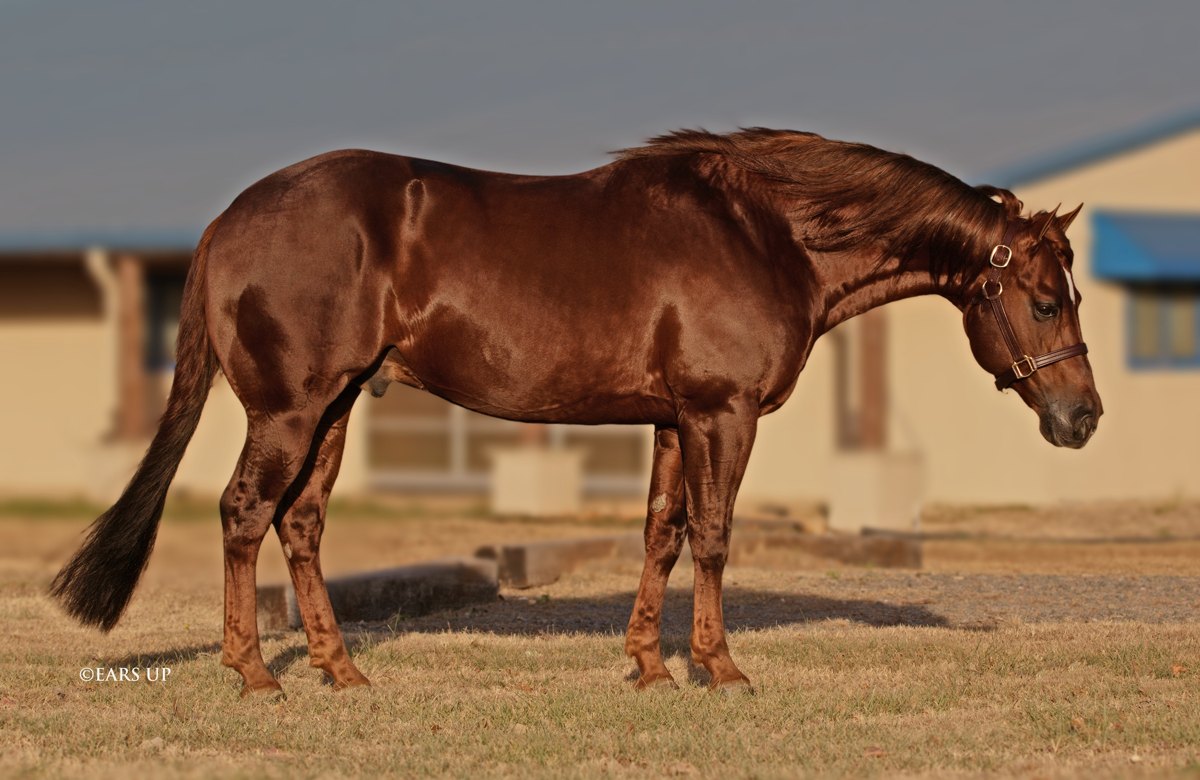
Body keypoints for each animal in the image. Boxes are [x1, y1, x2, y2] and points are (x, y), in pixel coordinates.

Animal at [50, 128, 1101, 695]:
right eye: (1047, 300)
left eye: (1075, 295)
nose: (1083, 417)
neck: (763, 232)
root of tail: (228, 220)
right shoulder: (723, 415)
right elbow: (713, 538)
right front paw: (719, 669)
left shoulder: (676, 420)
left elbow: (662, 534)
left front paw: (648, 666)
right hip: (288, 407)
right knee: (243, 514)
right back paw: (256, 673)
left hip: (336, 406)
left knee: (299, 525)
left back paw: (340, 669)